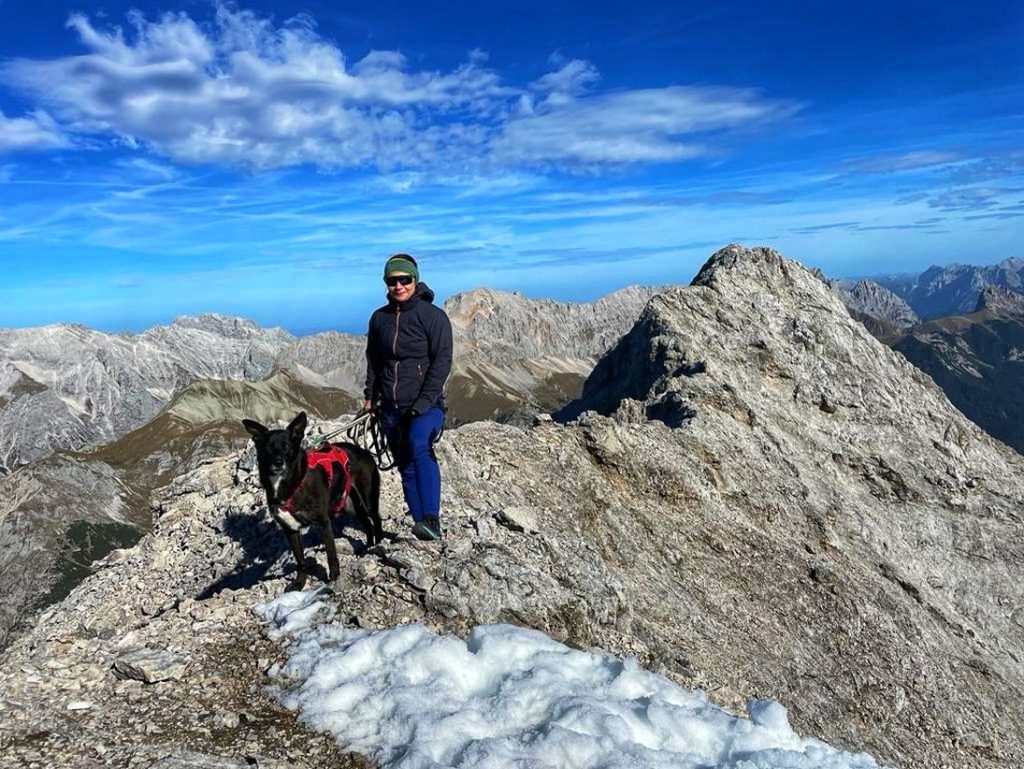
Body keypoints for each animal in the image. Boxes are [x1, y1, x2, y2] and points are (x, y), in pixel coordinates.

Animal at [241, 415, 382, 589]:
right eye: (268, 448)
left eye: (287, 446)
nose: (279, 462)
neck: (292, 485)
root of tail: (364, 451)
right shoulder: (290, 529)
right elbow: (300, 561)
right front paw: (299, 583)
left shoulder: (324, 522)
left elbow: (331, 555)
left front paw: (333, 579)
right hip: (349, 505)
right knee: (367, 523)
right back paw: (367, 548)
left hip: (367, 498)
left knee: (376, 519)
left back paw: (379, 544)